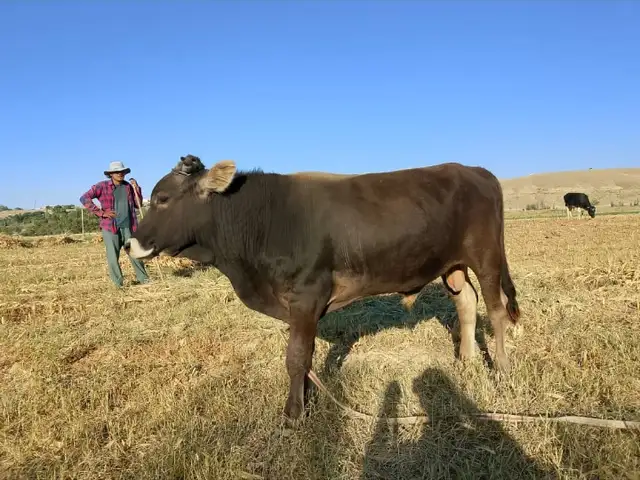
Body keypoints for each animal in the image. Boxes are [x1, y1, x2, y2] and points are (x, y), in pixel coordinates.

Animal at [124, 155, 521, 422]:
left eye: (162, 199)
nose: (130, 244)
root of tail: (475, 170)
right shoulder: (303, 308)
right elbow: (307, 355)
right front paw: (306, 397)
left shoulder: (305, 296)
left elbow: (296, 356)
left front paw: (293, 413)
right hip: (452, 265)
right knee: (466, 302)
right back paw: (465, 360)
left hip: (486, 258)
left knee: (496, 309)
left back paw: (501, 370)